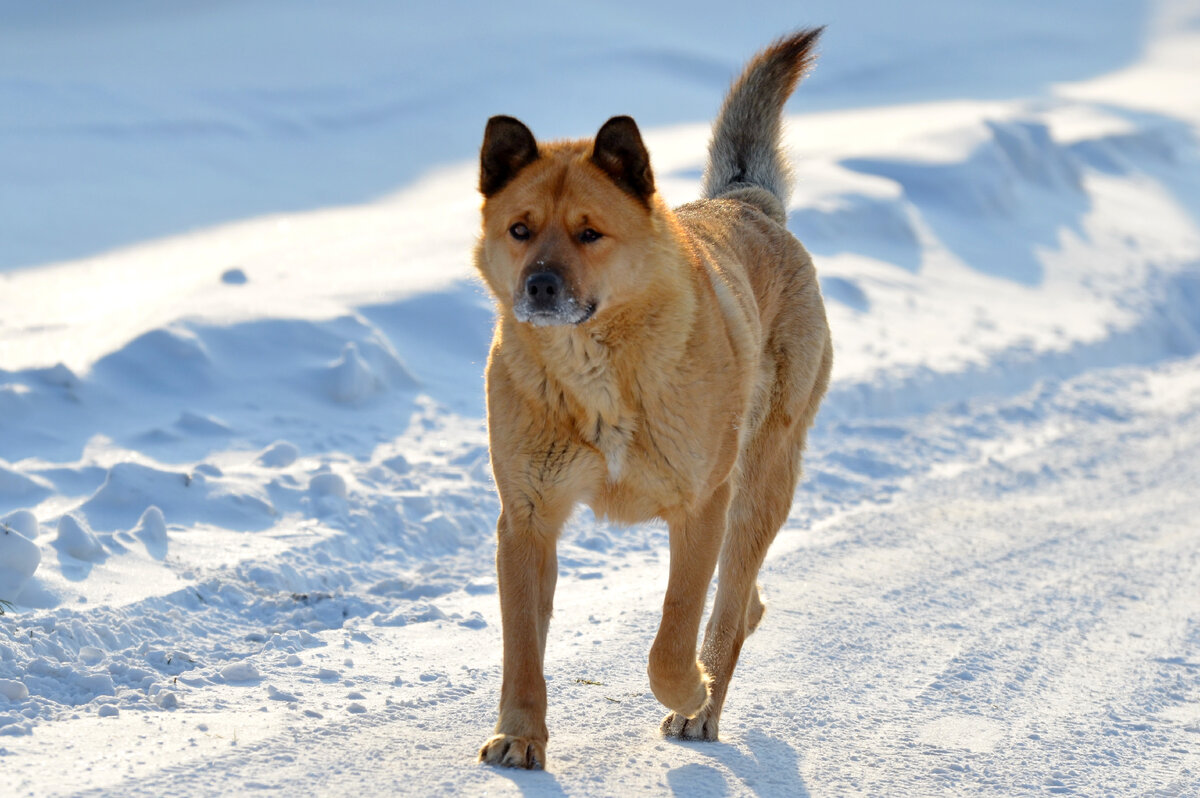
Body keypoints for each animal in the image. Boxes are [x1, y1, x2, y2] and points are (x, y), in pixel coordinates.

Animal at [472, 29, 830, 768]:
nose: (540, 286)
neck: (596, 374)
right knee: (746, 604)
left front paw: (691, 692)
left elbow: (673, 637)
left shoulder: (700, 506)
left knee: (731, 605)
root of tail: (748, 201)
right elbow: (522, 648)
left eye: (589, 232)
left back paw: (705, 707)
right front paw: (520, 735)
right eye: (520, 229)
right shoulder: (526, 520)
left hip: (759, 484)